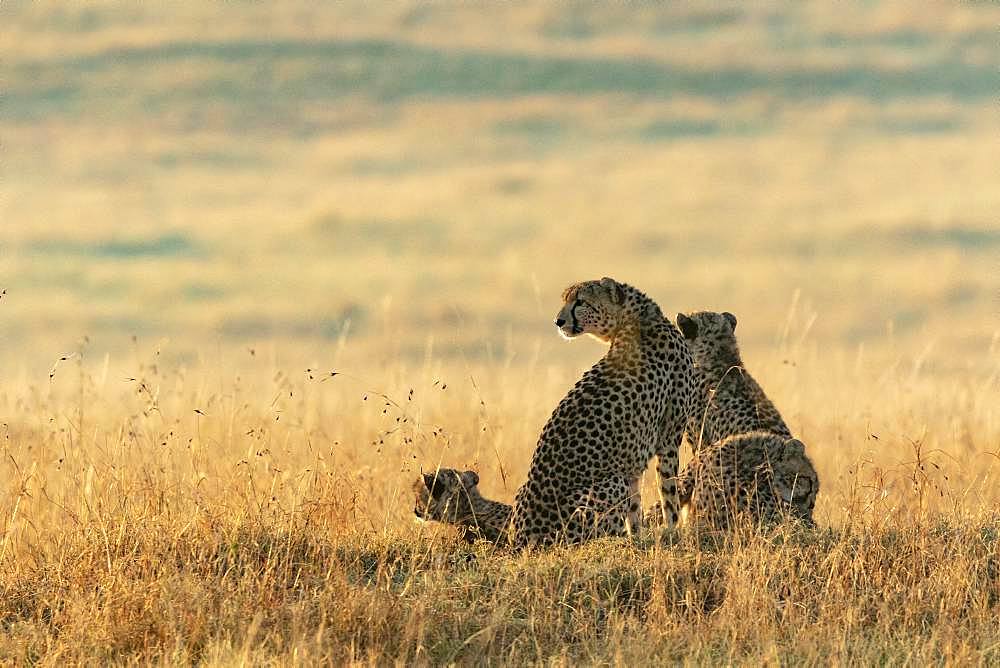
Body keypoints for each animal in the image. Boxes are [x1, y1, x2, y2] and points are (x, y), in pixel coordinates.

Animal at [508, 276, 696, 548]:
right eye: (566, 300)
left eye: (580, 302)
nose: (558, 321)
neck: (635, 317)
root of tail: (523, 538)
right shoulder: (669, 437)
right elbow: (668, 490)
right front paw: (672, 530)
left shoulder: (635, 459)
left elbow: (636, 505)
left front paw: (638, 536)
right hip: (610, 484)